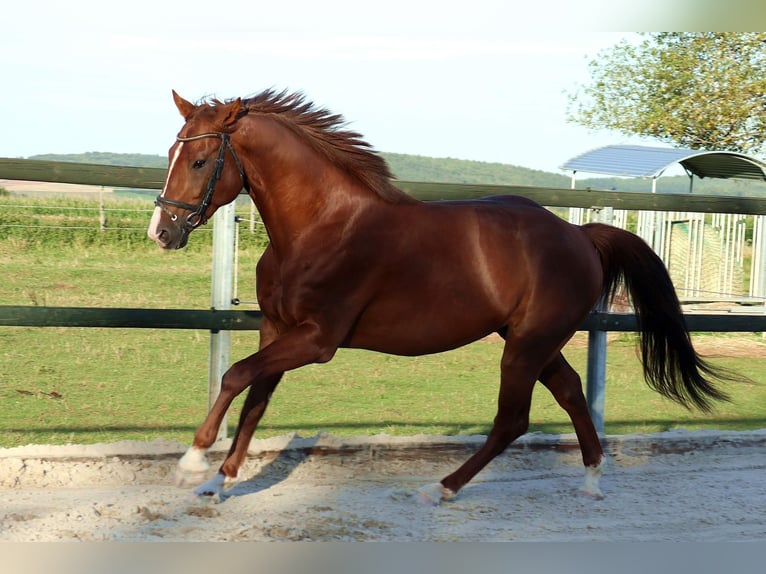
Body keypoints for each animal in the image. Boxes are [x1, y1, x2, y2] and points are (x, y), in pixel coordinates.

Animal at [147, 90, 736, 504]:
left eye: (200, 161)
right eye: (172, 152)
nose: (162, 233)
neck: (321, 227)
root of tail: (579, 234)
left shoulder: (317, 340)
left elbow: (235, 376)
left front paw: (192, 463)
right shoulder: (277, 328)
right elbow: (256, 399)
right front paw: (218, 483)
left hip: (526, 345)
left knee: (512, 421)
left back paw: (441, 488)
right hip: (535, 341)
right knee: (569, 393)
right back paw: (591, 480)